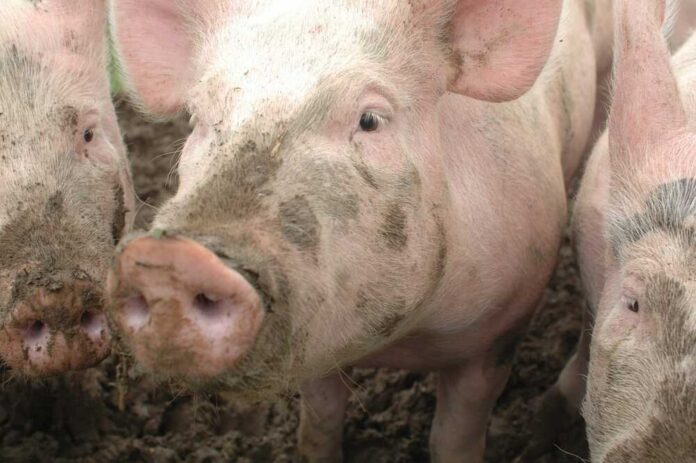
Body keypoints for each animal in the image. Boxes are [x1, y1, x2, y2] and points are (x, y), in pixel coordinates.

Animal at [107, 0, 601, 460]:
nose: (172, 260)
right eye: (197, 119)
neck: (402, 342)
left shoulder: (502, 329)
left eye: (370, 120)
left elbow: (454, 436)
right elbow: (320, 422)